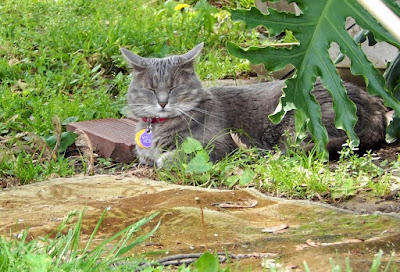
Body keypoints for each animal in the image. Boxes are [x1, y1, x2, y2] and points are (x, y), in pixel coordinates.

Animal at [121, 43, 388, 166]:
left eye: (174, 88)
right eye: (151, 89)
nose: (163, 102)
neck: (158, 126)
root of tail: (377, 108)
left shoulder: (218, 143)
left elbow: (173, 157)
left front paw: (165, 160)